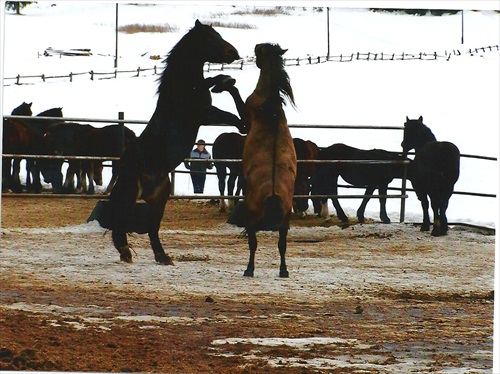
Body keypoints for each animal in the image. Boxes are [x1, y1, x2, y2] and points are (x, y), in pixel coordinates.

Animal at [107, 20, 244, 264]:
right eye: (211, 38)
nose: (234, 53)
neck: (184, 86)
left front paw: (222, 80)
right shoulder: (205, 114)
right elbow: (232, 116)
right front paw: (243, 124)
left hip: (159, 198)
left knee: (152, 227)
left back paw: (162, 256)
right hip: (130, 194)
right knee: (121, 220)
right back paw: (126, 251)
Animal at [227, 43, 296, 278]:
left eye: (262, 50)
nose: (256, 47)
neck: (269, 104)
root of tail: (273, 194)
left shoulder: (245, 121)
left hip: (251, 219)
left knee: (253, 243)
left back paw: (249, 269)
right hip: (284, 223)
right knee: (282, 244)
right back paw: (283, 270)